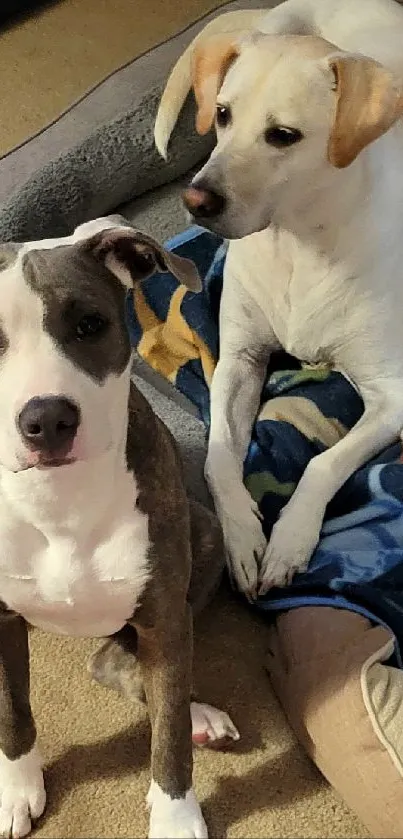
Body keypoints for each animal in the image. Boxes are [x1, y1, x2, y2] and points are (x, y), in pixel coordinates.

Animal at [0, 218, 238, 839]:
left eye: (90, 324)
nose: (47, 420)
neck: (59, 500)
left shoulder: (162, 615)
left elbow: (169, 733)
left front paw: (176, 816)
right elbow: (12, 710)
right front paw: (15, 790)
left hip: (204, 536)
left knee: (121, 667)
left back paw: (197, 714)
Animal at [155, 1, 403, 604]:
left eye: (284, 135)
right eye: (222, 114)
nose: (194, 199)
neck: (297, 243)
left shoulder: (394, 397)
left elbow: (323, 465)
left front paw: (289, 542)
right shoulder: (238, 363)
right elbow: (218, 458)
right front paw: (243, 538)